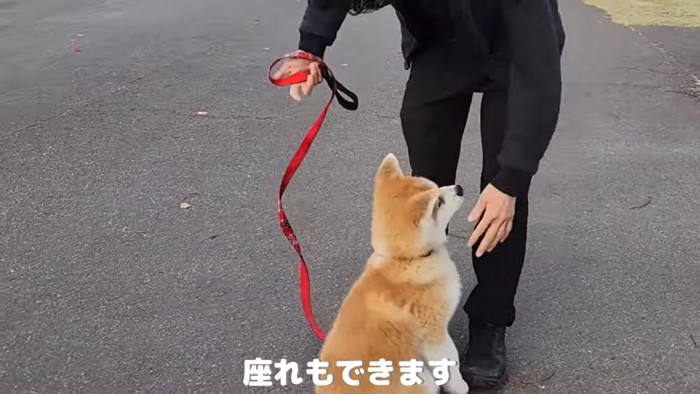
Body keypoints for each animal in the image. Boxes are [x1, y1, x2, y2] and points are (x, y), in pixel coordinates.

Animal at [314, 154, 468, 394]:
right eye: (439, 203)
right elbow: (451, 363)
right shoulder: (434, 332)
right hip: (420, 379)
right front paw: (461, 387)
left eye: (436, 187)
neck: (407, 260)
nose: (459, 188)